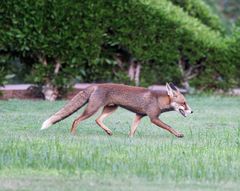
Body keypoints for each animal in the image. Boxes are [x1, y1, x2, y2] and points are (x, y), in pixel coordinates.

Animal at [40, 82, 193, 137]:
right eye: (184, 103)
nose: (192, 112)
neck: (158, 100)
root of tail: (96, 85)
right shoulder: (153, 118)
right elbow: (169, 127)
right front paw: (178, 134)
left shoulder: (138, 115)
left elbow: (132, 131)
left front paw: (130, 139)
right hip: (92, 109)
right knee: (76, 120)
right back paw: (72, 135)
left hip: (111, 109)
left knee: (97, 120)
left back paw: (108, 131)